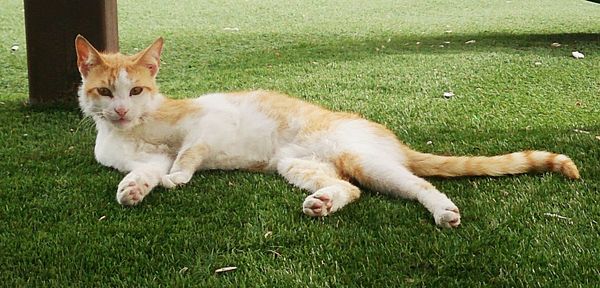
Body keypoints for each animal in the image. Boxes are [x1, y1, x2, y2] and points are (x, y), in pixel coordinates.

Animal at [72, 35, 580, 227]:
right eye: (105, 91)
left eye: (137, 89)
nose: (121, 110)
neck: (139, 130)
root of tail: (392, 140)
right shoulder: (143, 156)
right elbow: (146, 170)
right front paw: (134, 189)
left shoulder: (205, 122)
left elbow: (190, 152)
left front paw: (178, 174)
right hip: (297, 164)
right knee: (350, 189)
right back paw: (324, 203)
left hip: (361, 157)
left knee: (418, 184)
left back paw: (443, 210)